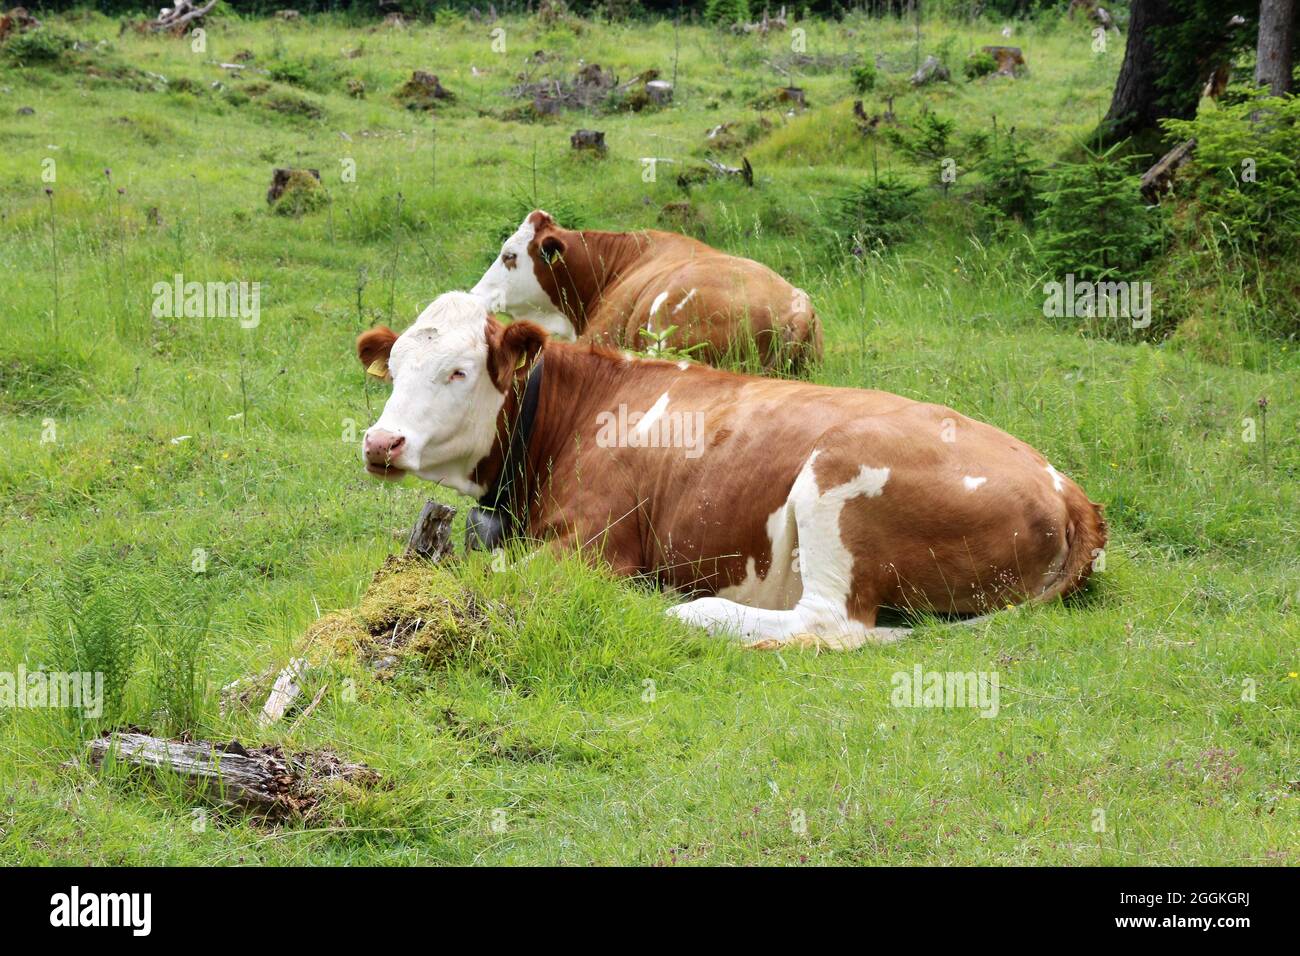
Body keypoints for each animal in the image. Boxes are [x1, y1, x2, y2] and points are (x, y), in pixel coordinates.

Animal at [358, 291, 1107, 650]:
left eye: (458, 371)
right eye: (392, 368)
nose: (380, 441)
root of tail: (1068, 489)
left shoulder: (592, 548)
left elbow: (483, 576)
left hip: (836, 475)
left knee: (829, 624)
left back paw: (696, 611)